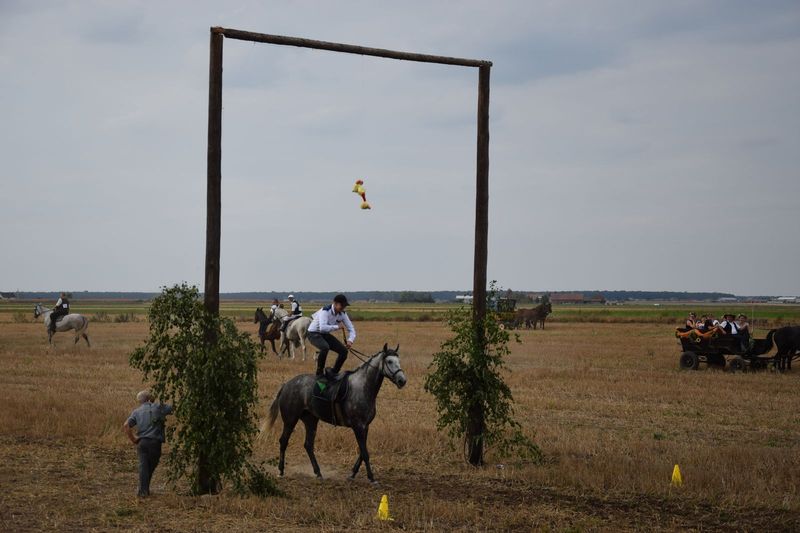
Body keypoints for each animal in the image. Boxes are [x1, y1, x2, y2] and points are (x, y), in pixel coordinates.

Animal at [264, 342, 406, 484]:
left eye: (398, 361)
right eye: (389, 361)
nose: (402, 380)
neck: (363, 387)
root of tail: (286, 384)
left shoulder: (365, 426)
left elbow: (362, 451)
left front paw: (352, 474)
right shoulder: (358, 426)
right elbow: (365, 453)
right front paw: (371, 478)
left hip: (311, 421)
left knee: (308, 445)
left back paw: (318, 473)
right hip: (290, 420)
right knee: (283, 441)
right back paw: (281, 471)